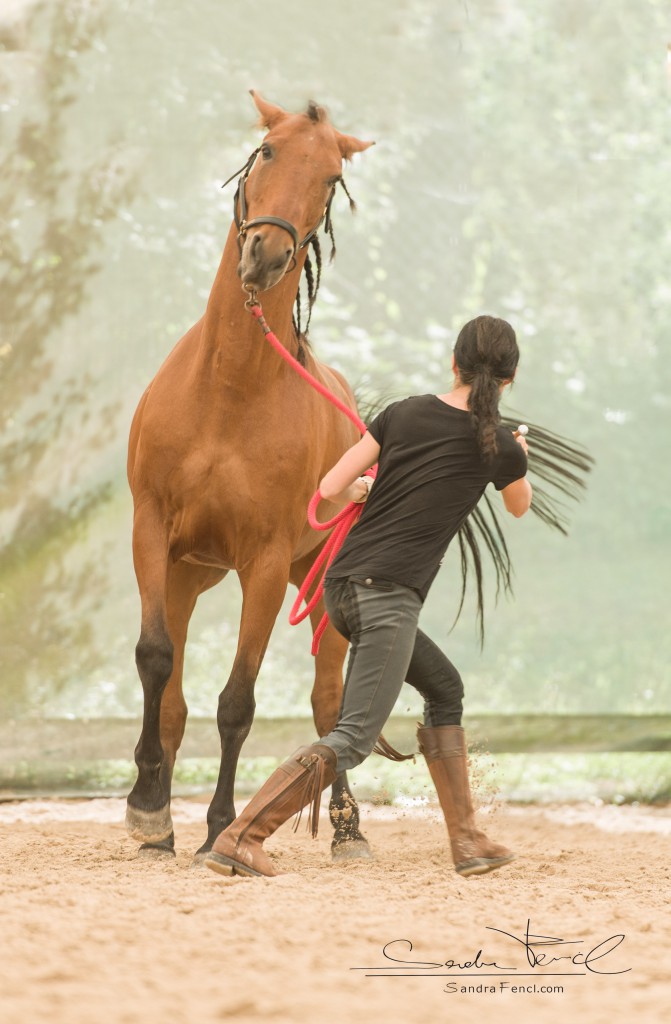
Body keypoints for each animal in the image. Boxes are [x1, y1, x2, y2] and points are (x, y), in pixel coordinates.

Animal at [125, 94, 374, 864]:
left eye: (330, 177)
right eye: (266, 150)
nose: (265, 253)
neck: (228, 389)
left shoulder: (262, 565)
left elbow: (237, 702)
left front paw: (218, 829)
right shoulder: (152, 532)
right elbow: (156, 663)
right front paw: (149, 810)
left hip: (317, 589)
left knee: (330, 703)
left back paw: (347, 829)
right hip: (189, 574)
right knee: (172, 698)